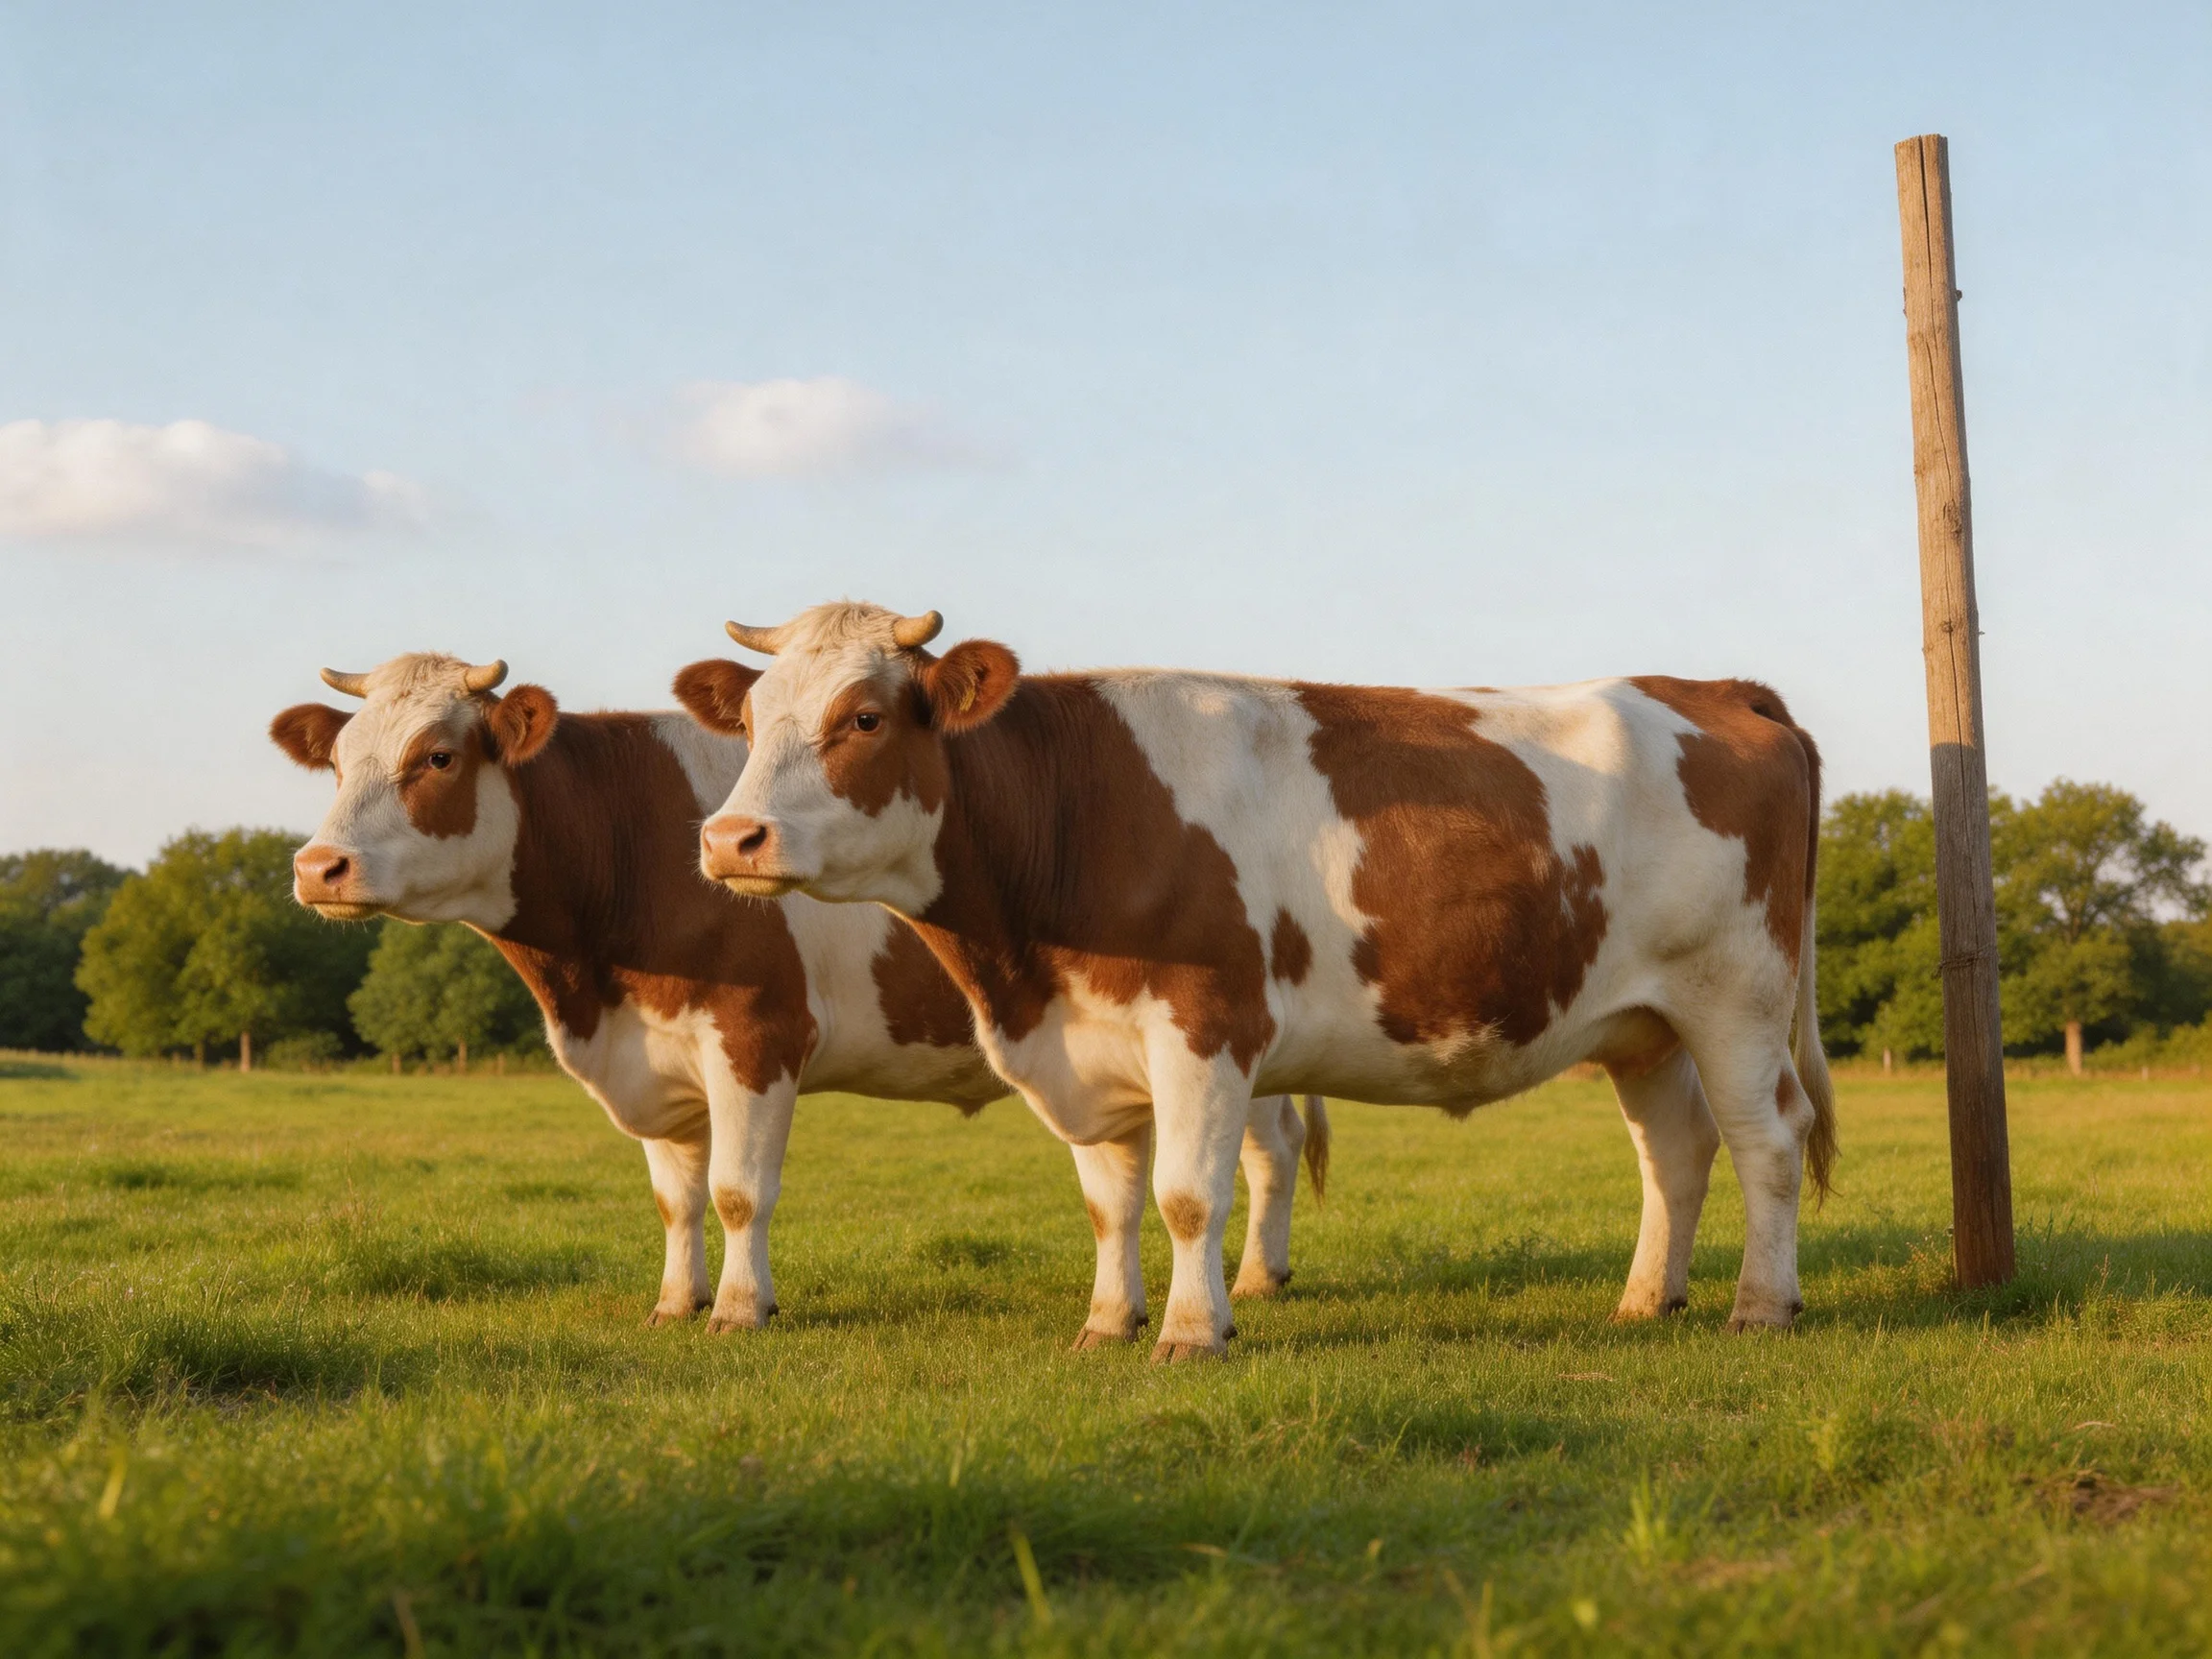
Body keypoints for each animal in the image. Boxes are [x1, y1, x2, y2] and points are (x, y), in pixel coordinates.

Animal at [269, 652, 1327, 1343]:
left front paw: (742, 1310)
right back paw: (1261, 1278)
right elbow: (674, 1196)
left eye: (438, 757)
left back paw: (1251, 1283)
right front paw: (676, 1301)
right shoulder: (655, 1052)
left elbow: (738, 1190)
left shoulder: (754, 1033)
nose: (318, 867)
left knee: (1262, 1154)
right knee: (1270, 1148)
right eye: (340, 762)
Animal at [687, 602, 1838, 1361]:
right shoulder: (1084, 1048)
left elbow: (1188, 1194)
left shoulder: (1205, 1026)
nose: (729, 838)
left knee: (1767, 1140)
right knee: (1675, 1151)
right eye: (750, 722)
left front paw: (1194, 1334)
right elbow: (1110, 1202)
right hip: (1642, 1022)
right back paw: (1647, 1300)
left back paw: (1759, 1305)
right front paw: (1107, 1323)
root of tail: (1713, 689)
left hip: (1736, 995)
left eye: (865, 719)